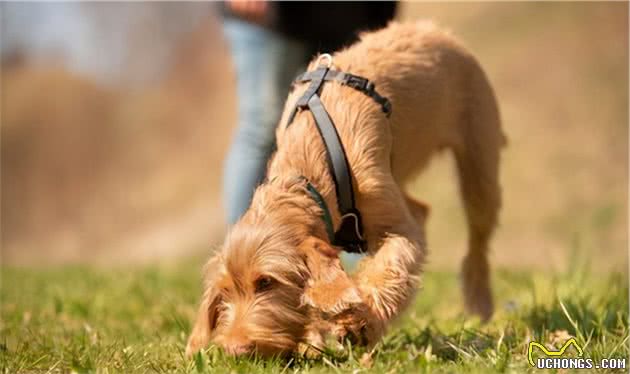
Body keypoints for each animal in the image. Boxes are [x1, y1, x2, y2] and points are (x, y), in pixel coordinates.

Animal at [185, 21, 506, 360]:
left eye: (266, 282)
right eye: (226, 290)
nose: (236, 350)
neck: (305, 174)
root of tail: (434, 29)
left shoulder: (399, 227)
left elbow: (389, 269)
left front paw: (362, 323)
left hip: (480, 159)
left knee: (476, 236)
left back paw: (480, 300)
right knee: (421, 208)